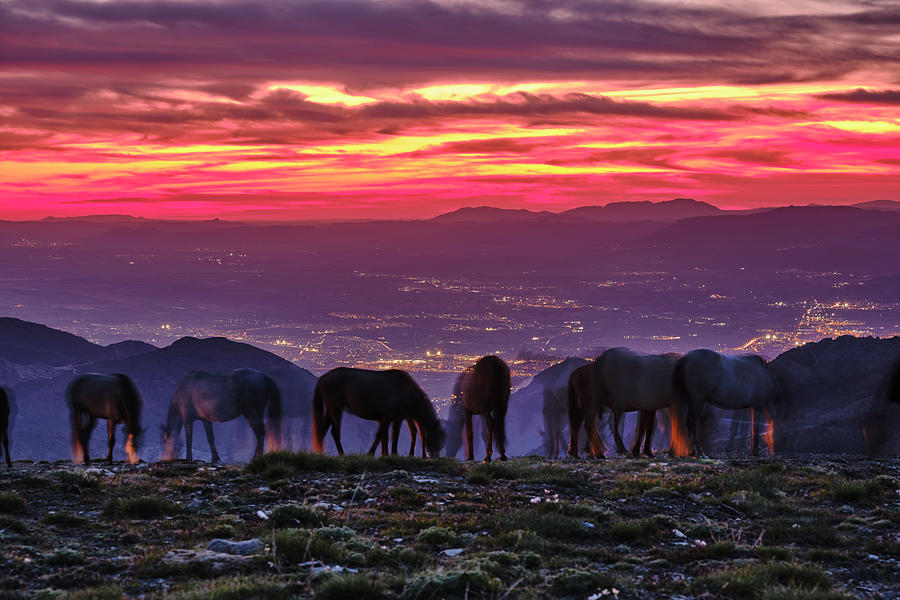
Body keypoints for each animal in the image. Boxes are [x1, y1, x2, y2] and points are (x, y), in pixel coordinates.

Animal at [312, 366, 446, 460]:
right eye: (436, 436)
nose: (435, 455)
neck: (407, 391)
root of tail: (323, 377)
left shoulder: (396, 418)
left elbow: (389, 436)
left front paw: (388, 454)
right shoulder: (389, 417)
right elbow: (382, 435)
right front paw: (373, 454)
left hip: (331, 410)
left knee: (322, 430)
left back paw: (319, 454)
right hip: (335, 408)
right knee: (334, 432)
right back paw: (342, 454)